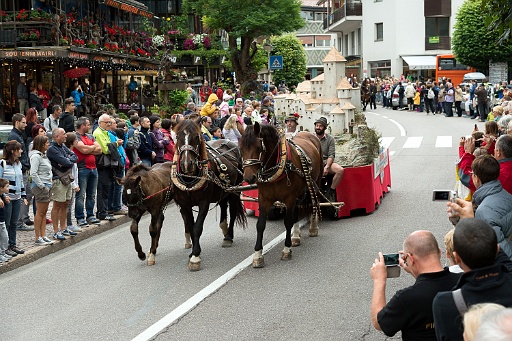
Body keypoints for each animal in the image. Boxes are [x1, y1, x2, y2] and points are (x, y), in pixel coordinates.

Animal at [172, 119, 248, 270]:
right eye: (177, 137)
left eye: (197, 136)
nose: (187, 164)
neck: (189, 179)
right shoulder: (184, 204)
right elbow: (191, 226)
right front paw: (193, 252)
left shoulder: (204, 202)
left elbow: (197, 227)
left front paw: (195, 256)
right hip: (224, 190)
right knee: (224, 206)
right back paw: (224, 228)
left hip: (235, 190)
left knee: (233, 210)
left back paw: (228, 236)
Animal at [239, 121, 320, 266]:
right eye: (240, 148)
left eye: (258, 148)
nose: (249, 177)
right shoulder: (264, 199)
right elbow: (260, 225)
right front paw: (258, 255)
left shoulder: (289, 198)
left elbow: (287, 222)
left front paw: (286, 249)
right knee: (298, 211)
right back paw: (296, 235)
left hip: (316, 182)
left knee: (314, 202)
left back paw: (313, 227)